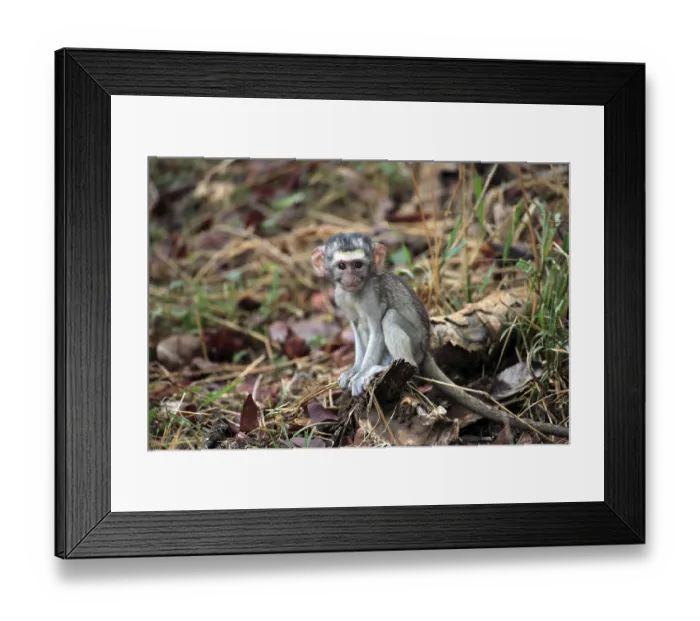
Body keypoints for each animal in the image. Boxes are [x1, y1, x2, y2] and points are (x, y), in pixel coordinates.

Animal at [311, 232, 569, 439]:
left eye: (358, 264)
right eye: (342, 266)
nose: (351, 278)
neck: (355, 293)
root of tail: (425, 348)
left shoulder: (371, 296)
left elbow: (376, 327)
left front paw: (362, 373)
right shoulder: (341, 297)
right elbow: (357, 328)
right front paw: (353, 370)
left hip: (415, 343)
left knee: (391, 319)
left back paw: (383, 367)